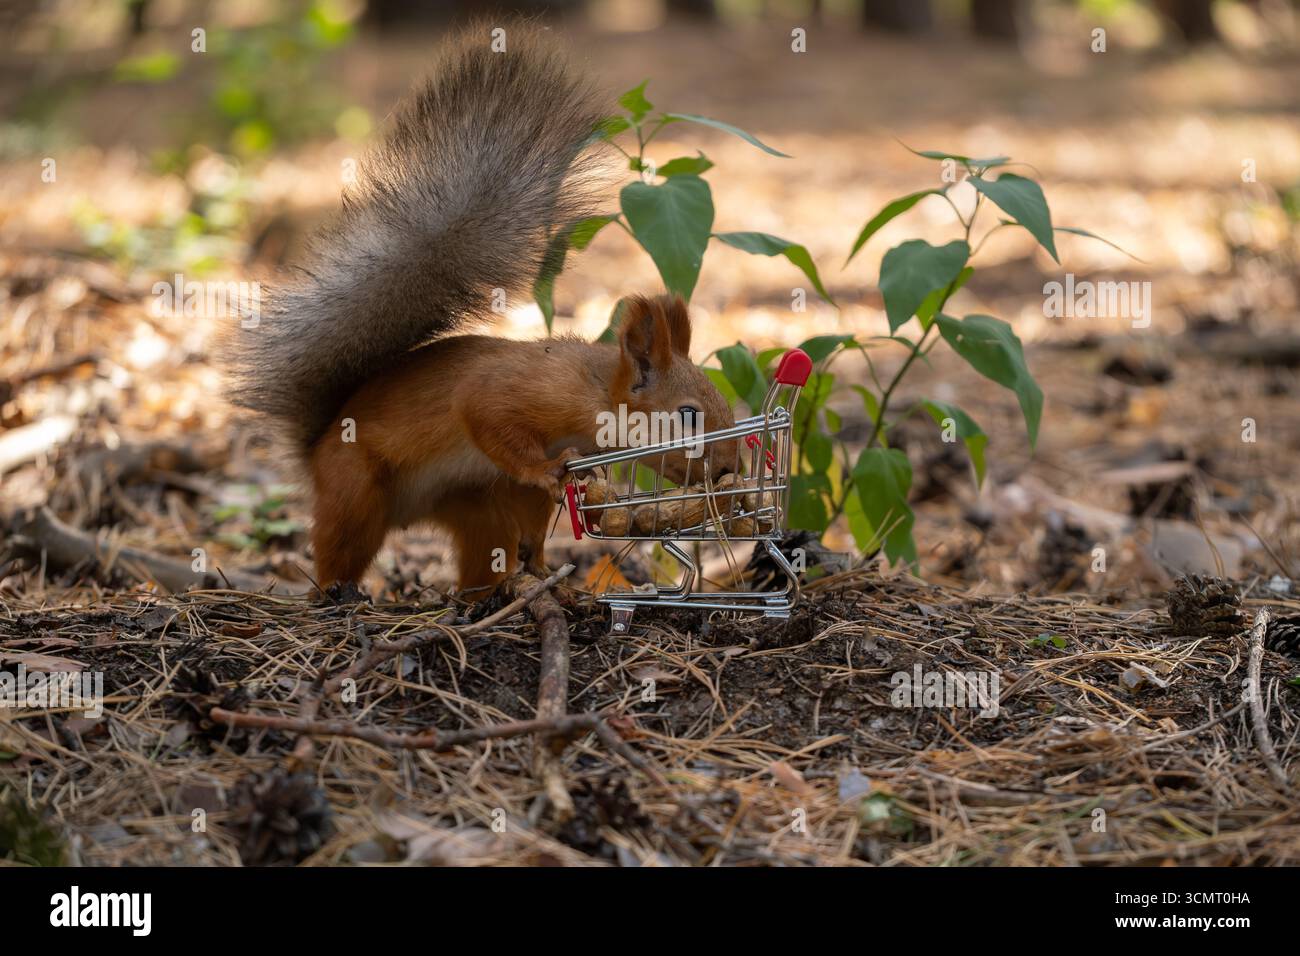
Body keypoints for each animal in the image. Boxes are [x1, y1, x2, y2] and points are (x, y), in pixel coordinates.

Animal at [225, 25, 738, 594]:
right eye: (688, 415)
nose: (728, 470)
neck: (595, 394)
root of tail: (316, 450)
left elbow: (535, 505)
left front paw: (556, 540)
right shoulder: (518, 393)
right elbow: (487, 418)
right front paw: (546, 470)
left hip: (474, 505)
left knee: (485, 548)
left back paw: (506, 586)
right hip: (355, 489)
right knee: (340, 544)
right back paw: (339, 592)